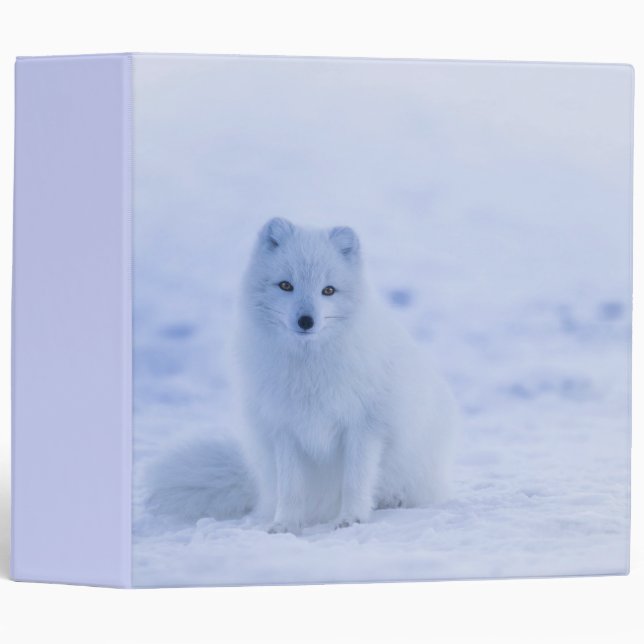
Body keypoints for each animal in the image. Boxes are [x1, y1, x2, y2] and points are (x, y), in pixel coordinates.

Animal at [145, 218, 458, 533]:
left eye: (328, 290)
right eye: (286, 285)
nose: (306, 321)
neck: (309, 370)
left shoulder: (364, 426)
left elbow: (355, 481)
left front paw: (351, 519)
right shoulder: (284, 428)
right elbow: (291, 488)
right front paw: (285, 525)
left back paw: (392, 500)